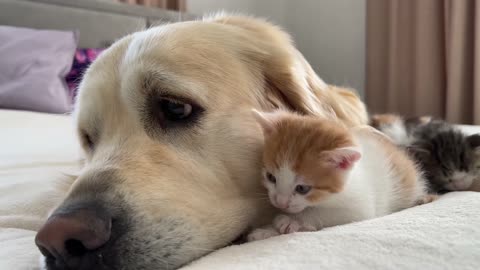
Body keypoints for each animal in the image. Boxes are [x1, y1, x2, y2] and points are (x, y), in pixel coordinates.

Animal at [248, 110, 432, 242]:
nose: (280, 203)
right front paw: (266, 231)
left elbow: (325, 214)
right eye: (271, 177)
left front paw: (294, 220)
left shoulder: (360, 207)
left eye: (302, 188)